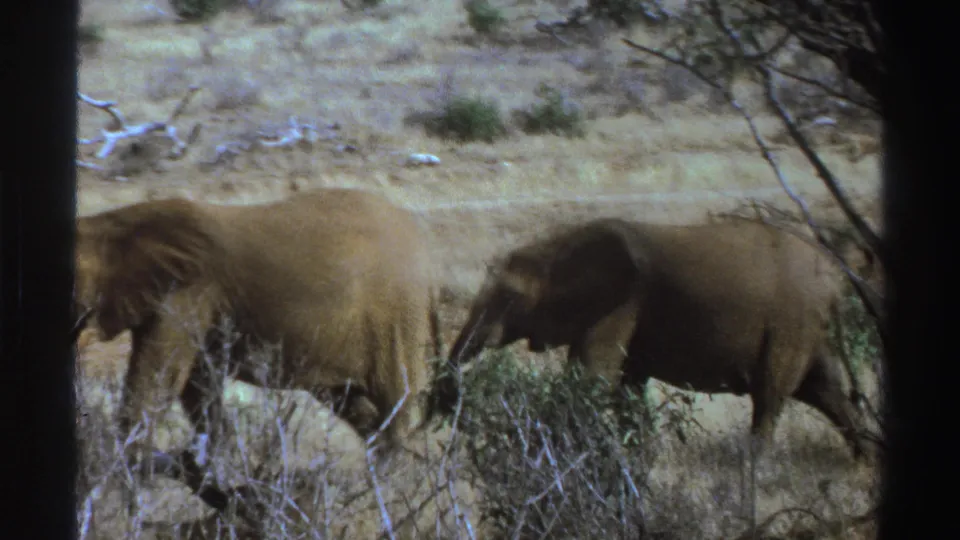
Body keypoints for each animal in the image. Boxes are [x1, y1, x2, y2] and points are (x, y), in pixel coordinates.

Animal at [72, 187, 444, 465]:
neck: (115, 225)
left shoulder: (186, 295)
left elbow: (158, 381)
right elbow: (197, 387)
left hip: (395, 315)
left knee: (395, 404)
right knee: (357, 408)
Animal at [432, 217, 876, 462]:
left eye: (509, 298)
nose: (448, 410)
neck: (555, 246)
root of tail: (836, 278)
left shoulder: (621, 302)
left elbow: (591, 377)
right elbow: (625, 387)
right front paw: (639, 453)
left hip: (791, 323)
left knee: (770, 395)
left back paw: (756, 466)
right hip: (808, 328)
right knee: (826, 390)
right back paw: (864, 461)